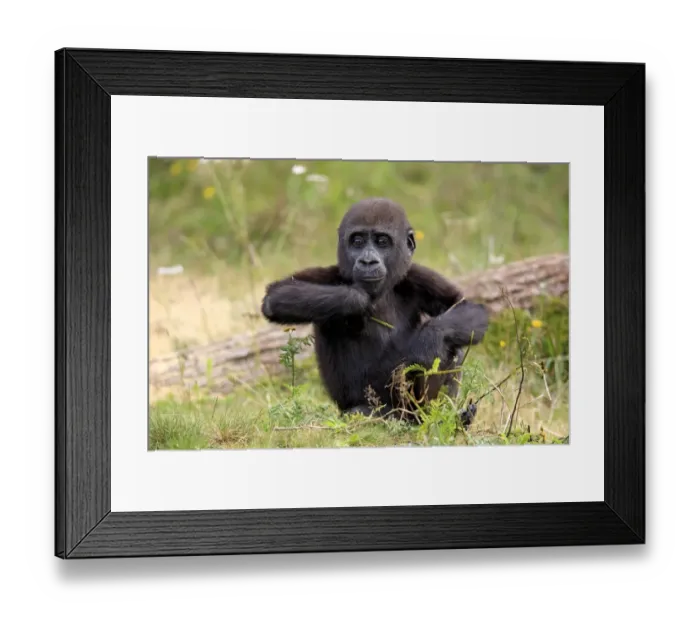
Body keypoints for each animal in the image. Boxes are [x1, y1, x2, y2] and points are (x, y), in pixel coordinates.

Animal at [261, 198, 488, 425]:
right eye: (357, 241)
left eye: (382, 241)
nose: (368, 261)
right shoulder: (335, 274)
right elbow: (278, 295)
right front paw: (356, 299)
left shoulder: (415, 274)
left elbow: (464, 305)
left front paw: (429, 339)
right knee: (364, 412)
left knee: (451, 345)